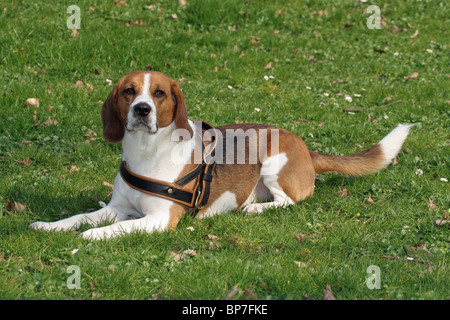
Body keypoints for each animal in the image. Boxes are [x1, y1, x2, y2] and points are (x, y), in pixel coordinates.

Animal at [29, 70, 414, 240]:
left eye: (159, 93)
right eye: (129, 91)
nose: (141, 109)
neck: (146, 151)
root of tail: (305, 147)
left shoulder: (158, 220)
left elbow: (114, 229)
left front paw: (92, 237)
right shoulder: (116, 208)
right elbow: (79, 218)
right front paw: (50, 226)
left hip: (272, 159)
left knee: (288, 201)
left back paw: (255, 208)